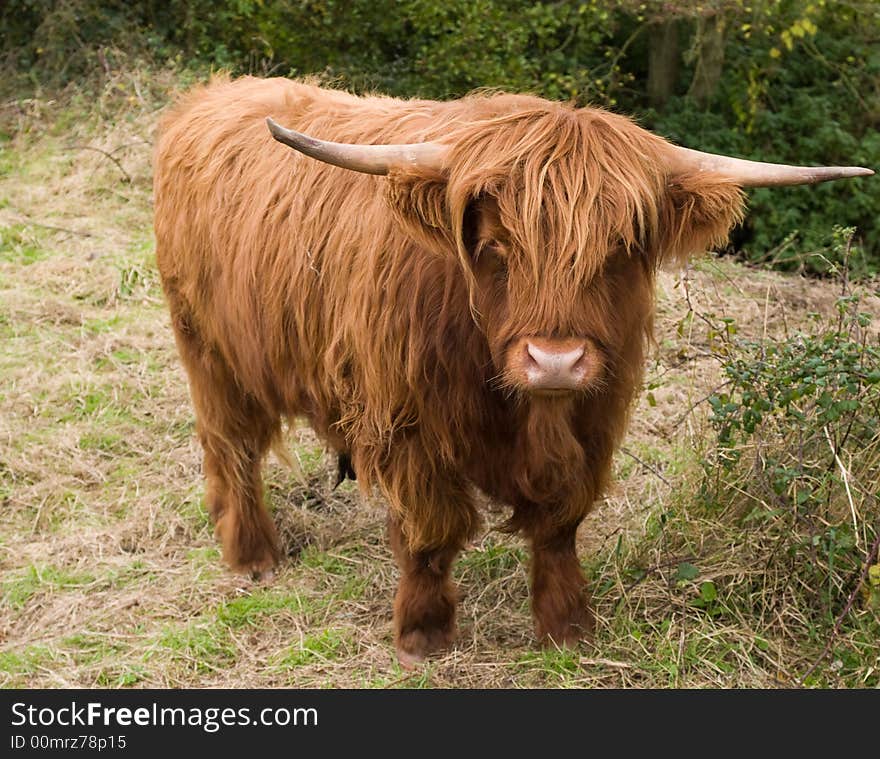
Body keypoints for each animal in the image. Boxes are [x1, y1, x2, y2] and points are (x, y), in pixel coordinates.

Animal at [153, 75, 872, 664]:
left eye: (621, 248)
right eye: (495, 244)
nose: (555, 359)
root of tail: (212, 97)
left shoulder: (595, 419)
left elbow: (560, 524)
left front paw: (567, 627)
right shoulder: (408, 426)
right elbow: (432, 530)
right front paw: (423, 634)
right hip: (209, 350)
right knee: (233, 446)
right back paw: (252, 555)